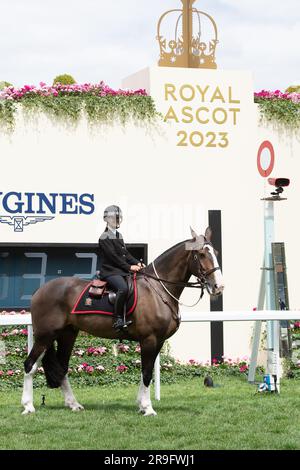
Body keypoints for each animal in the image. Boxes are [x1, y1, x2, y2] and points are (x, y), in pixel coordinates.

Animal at [21, 228, 224, 414]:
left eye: (215, 252)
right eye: (201, 254)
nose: (218, 286)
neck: (157, 289)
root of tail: (39, 290)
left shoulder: (158, 341)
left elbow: (146, 372)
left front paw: (141, 404)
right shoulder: (149, 339)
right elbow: (147, 372)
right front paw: (148, 408)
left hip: (67, 334)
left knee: (62, 368)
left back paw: (73, 404)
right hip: (45, 336)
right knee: (30, 365)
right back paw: (28, 406)